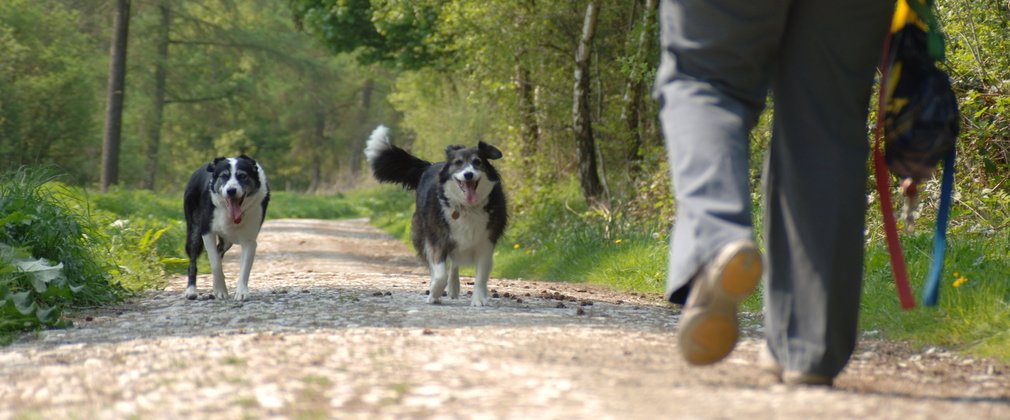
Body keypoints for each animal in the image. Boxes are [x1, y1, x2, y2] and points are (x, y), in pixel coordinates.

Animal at [182, 155, 268, 300]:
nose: (231, 191)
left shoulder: (249, 239)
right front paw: (221, 290)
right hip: (194, 230)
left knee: (219, 250)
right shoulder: (207, 232)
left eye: (242, 176)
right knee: (194, 259)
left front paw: (241, 292)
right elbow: (215, 263)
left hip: (226, 241)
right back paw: (191, 290)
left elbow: (245, 266)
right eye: (224, 176)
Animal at [365, 124, 509, 304]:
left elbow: (481, 275)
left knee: (455, 262)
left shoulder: (486, 241)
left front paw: (478, 299)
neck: (466, 207)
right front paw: (434, 293)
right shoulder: (437, 239)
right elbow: (440, 274)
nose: (468, 174)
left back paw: (454, 288)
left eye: (477, 162)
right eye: (458, 163)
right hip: (422, 232)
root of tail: (429, 166)